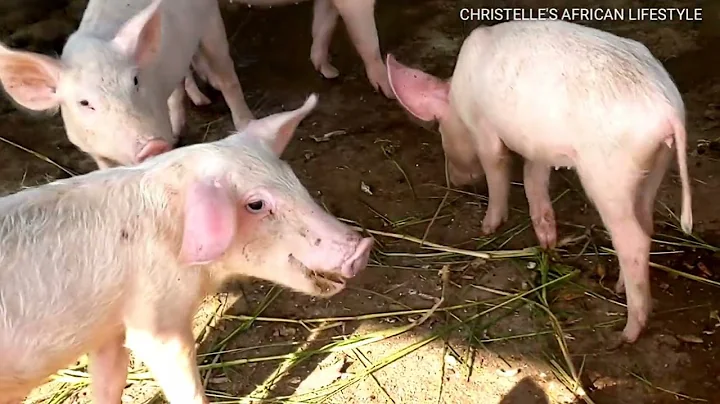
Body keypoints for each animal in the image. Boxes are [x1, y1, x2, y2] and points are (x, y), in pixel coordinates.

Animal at [0, 0, 255, 170]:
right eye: (84, 102)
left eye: (134, 81)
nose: (152, 145)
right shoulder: (92, 150)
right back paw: (192, 111)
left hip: (212, 25)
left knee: (227, 76)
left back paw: (244, 123)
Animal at [0, 93, 373, 403]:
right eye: (256, 204)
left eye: (295, 180)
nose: (362, 246)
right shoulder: (156, 316)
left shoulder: (110, 327)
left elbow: (110, 379)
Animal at [385, 20, 693, 345]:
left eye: (441, 132)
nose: (454, 180)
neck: (459, 97)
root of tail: (668, 111)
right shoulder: (538, 145)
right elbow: (533, 177)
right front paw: (547, 242)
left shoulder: (484, 129)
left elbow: (497, 168)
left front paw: (488, 227)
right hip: (655, 165)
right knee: (646, 222)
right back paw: (620, 287)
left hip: (610, 176)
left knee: (634, 239)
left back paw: (627, 333)